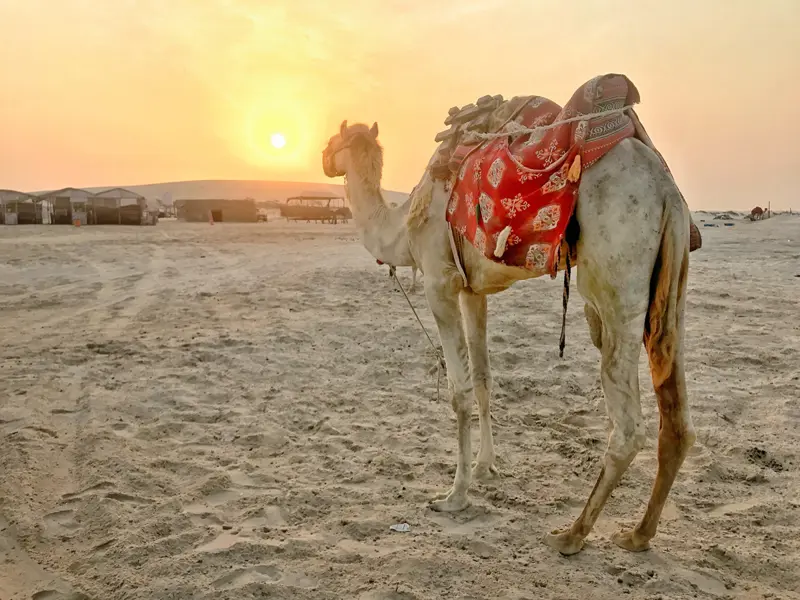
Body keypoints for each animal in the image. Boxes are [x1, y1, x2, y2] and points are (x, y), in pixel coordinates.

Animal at [322, 82, 696, 556]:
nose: (322, 158)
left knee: (627, 425)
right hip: (670, 279)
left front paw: (455, 495)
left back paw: (572, 534)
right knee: (676, 413)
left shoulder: (439, 283)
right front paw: (486, 468)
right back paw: (638, 534)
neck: (401, 227)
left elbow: (459, 392)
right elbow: (484, 380)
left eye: (333, 141)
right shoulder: (471, 290)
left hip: (614, 273)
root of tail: (665, 188)